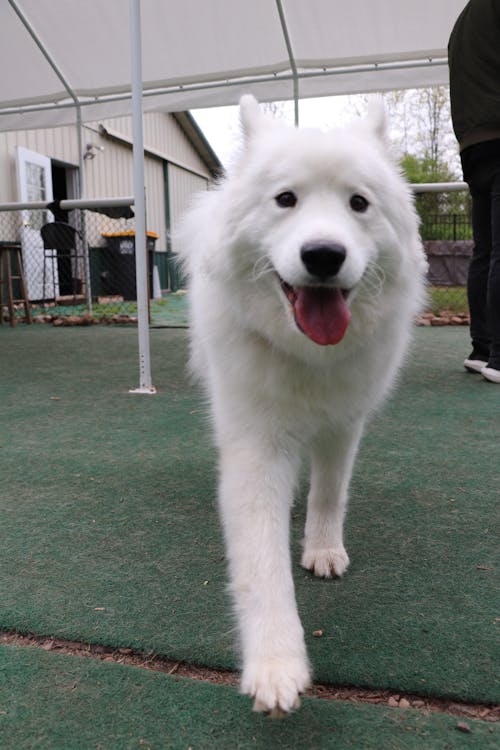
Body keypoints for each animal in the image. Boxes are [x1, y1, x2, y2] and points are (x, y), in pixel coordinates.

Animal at [178, 97, 428, 720]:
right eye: (285, 199)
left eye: (358, 203)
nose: (323, 255)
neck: (308, 353)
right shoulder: (256, 448)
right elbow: (263, 565)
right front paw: (275, 666)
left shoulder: (344, 423)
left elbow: (329, 493)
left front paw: (322, 548)